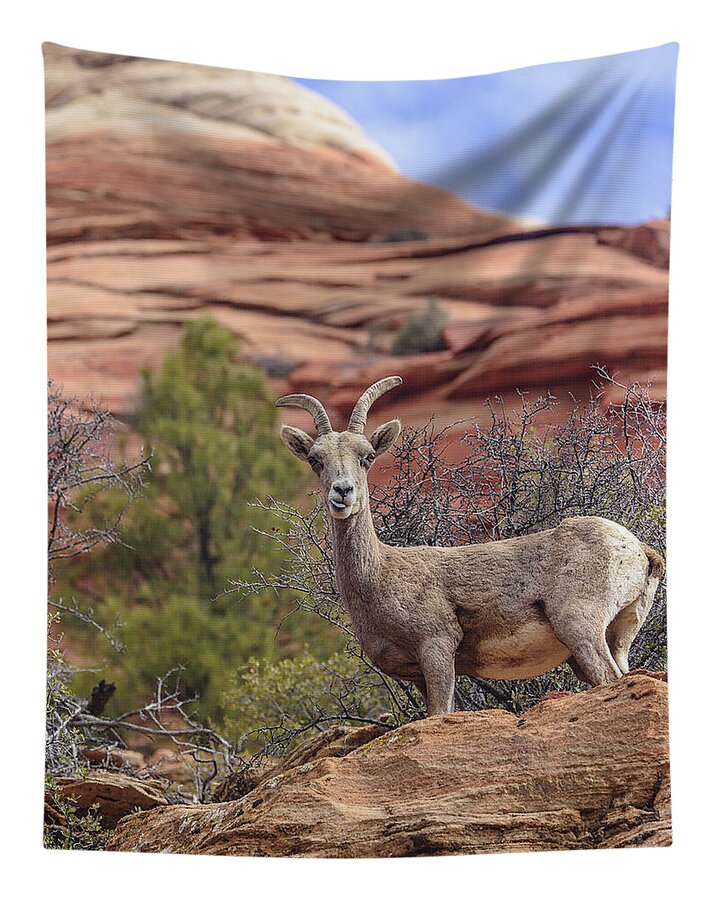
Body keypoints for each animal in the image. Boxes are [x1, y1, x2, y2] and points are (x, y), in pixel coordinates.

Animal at [276, 376, 665, 716]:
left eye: (368, 456)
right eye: (315, 459)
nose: (342, 492)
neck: (379, 575)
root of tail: (639, 550)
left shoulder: (436, 647)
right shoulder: (418, 674)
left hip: (581, 627)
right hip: (616, 637)